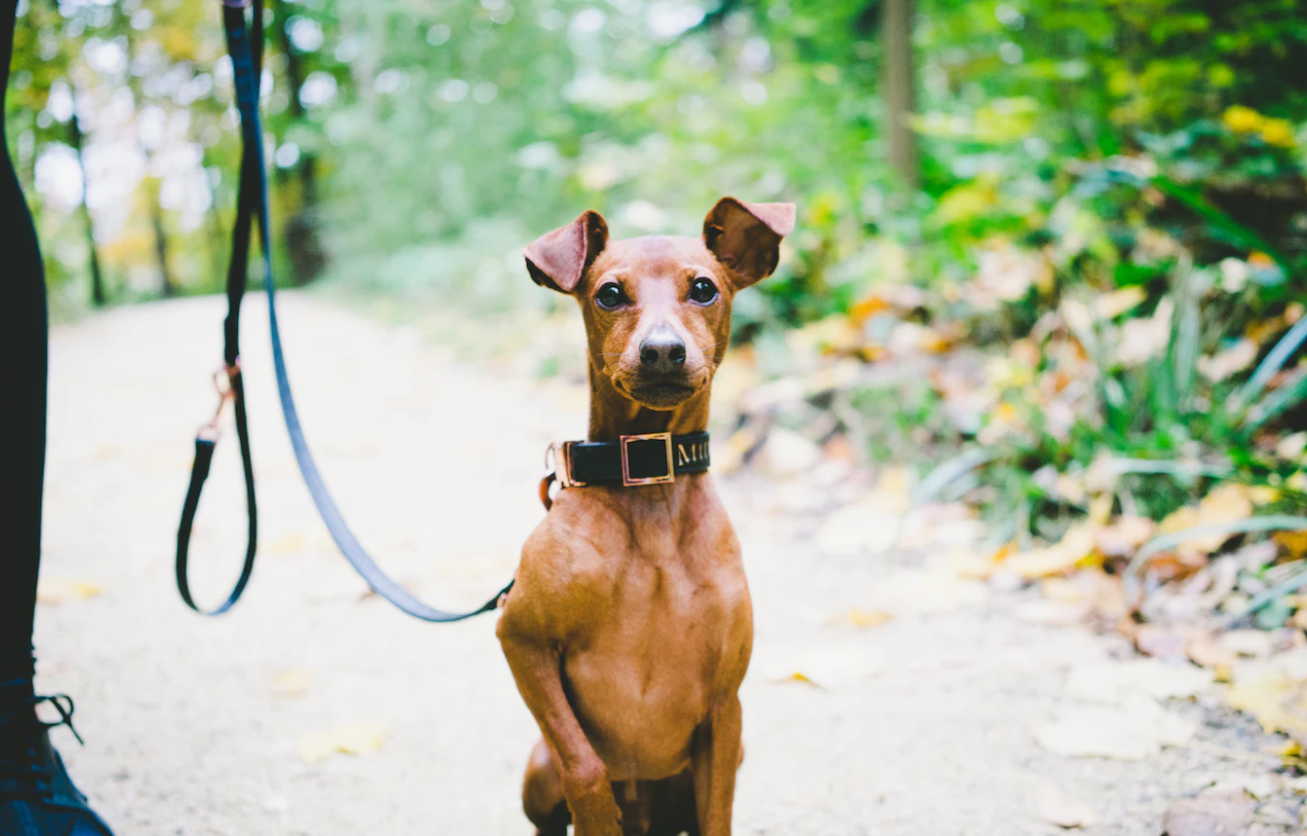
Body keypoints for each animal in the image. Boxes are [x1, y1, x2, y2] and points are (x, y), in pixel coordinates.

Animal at [496, 197, 794, 836]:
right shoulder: (520, 638)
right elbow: (585, 767)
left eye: (704, 288)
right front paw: (597, 810)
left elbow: (718, 812)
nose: (661, 350)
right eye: (609, 293)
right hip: (537, 769)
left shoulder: (724, 712)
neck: (649, 484)